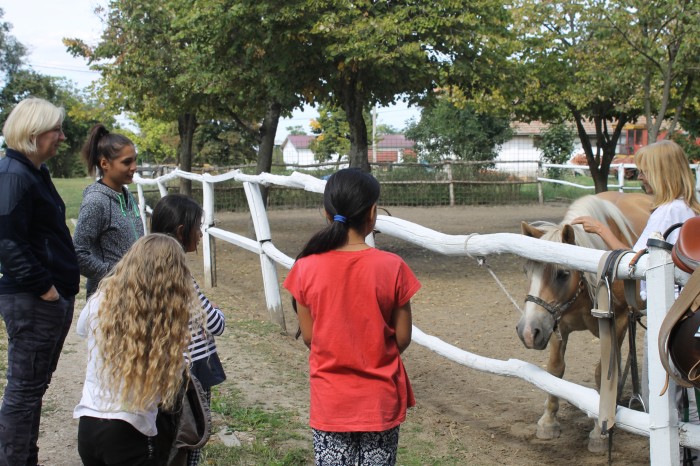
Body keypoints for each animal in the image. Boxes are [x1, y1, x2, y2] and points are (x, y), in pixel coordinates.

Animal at [516, 191, 652, 454]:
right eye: (527, 272)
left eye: (562, 273)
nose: (527, 332)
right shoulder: (556, 324)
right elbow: (555, 369)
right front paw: (548, 421)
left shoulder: (618, 324)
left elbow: (603, 374)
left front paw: (600, 431)